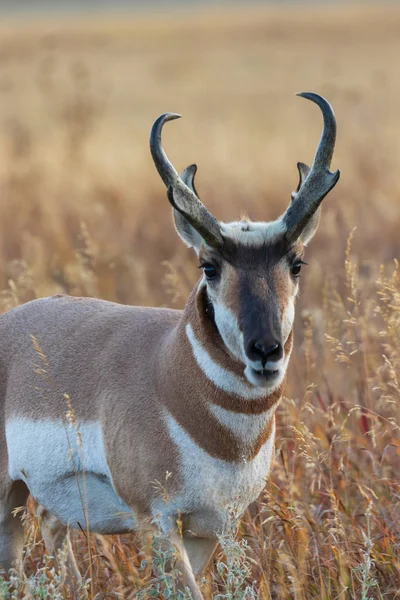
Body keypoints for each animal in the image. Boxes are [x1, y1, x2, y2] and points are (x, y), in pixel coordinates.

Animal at [0, 91, 340, 596]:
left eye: (296, 263)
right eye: (209, 266)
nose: (265, 350)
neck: (168, 371)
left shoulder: (208, 529)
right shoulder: (156, 521)